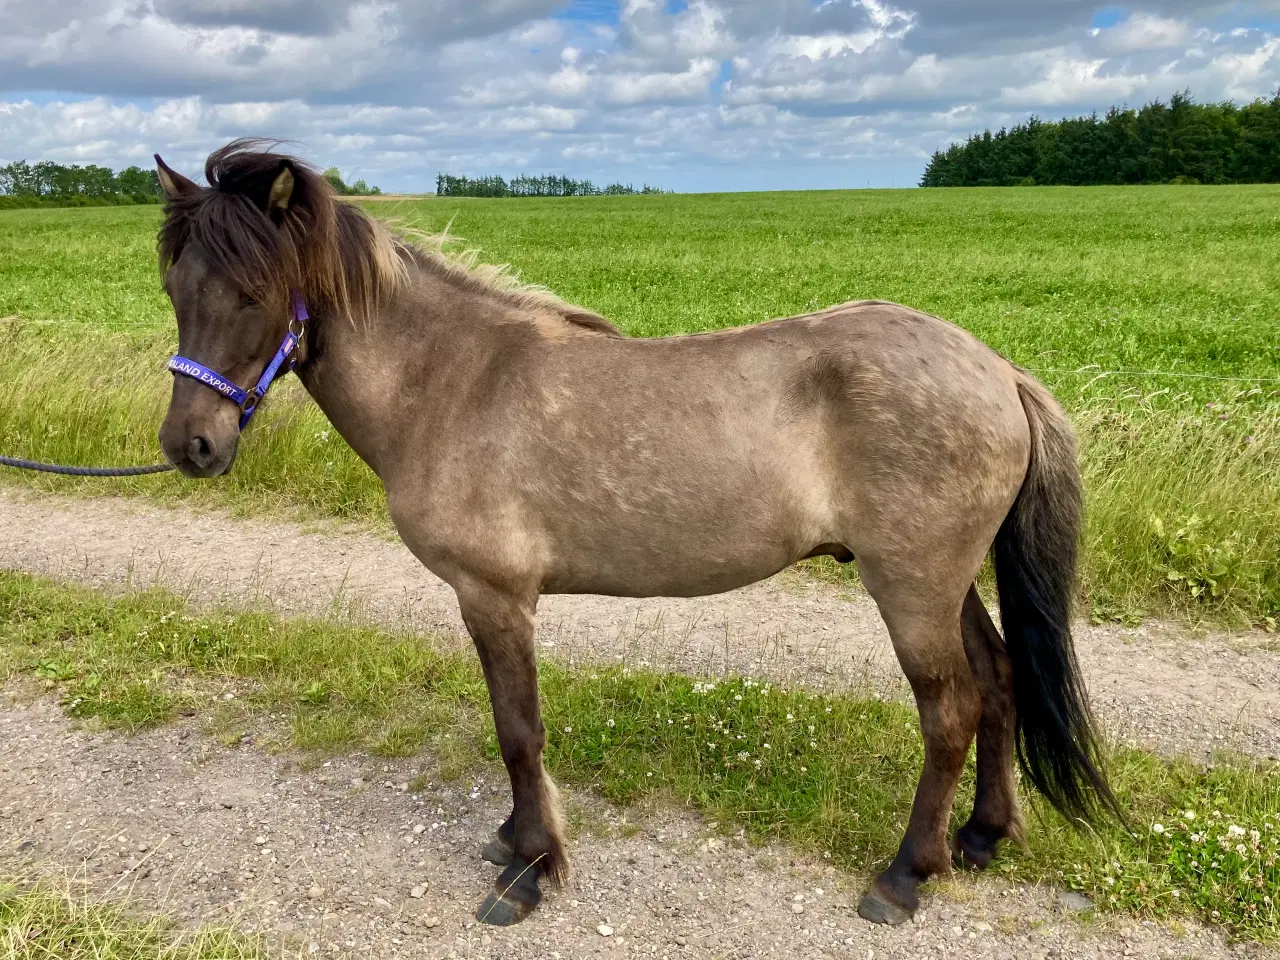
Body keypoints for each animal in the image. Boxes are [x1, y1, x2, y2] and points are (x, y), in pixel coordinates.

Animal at [147, 138, 1111, 926]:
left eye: (255, 293)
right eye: (174, 289)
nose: (191, 445)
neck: (452, 383)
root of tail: (996, 369)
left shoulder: (495, 598)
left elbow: (518, 731)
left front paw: (531, 871)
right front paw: (513, 841)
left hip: (911, 586)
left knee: (949, 713)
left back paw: (906, 876)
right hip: (948, 583)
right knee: (998, 681)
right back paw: (982, 838)